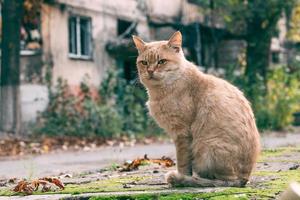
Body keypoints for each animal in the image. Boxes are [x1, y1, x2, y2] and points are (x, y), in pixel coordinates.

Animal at [132, 31, 260, 188]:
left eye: (161, 61)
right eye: (144, 63)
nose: (150, 71)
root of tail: (244, 178)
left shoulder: (182, 133)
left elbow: (183, 163)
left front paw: (181, 177)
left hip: (207, 148)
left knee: (222, 181)